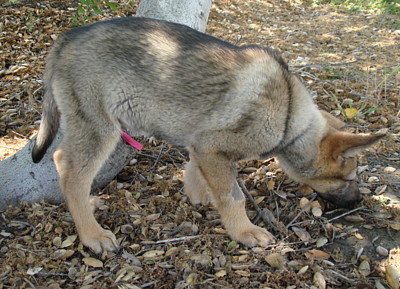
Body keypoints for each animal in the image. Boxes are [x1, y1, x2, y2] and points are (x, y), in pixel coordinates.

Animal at [32, 16, 384, 253]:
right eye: (347, 179)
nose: (358, 202)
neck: (289, 116)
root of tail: (65, 38)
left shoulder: (201, 143)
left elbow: (196, 170)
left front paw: (198, 194)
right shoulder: (213, 146)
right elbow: (233, 196)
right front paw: (244, 232)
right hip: (100, 127)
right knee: (69, 168)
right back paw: (92, 234)